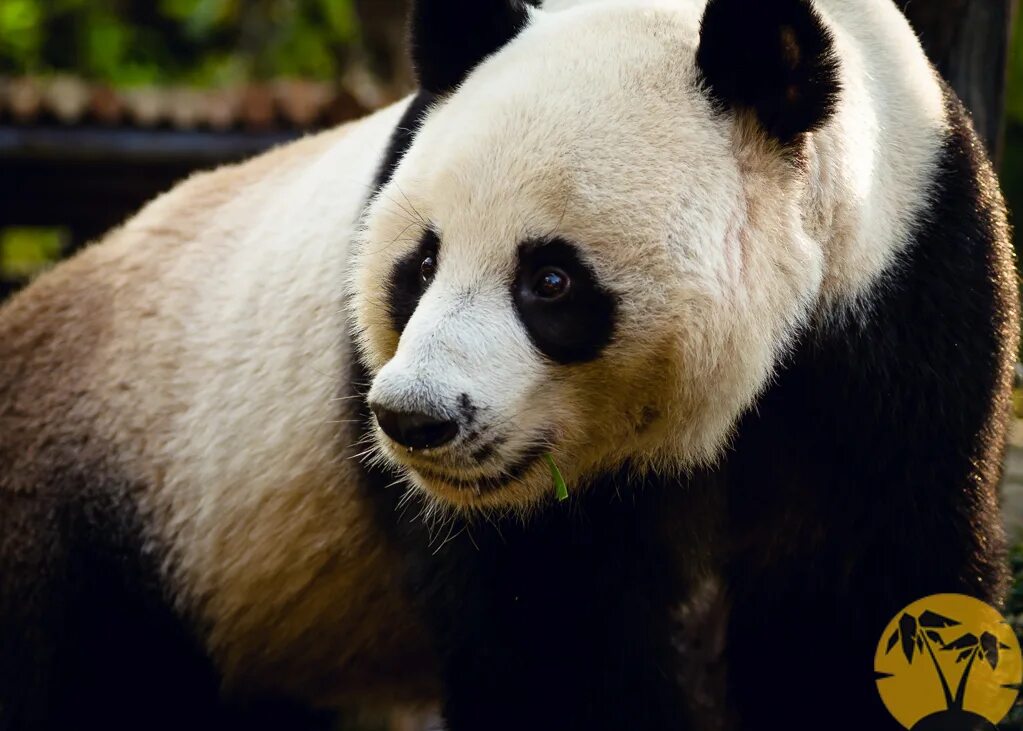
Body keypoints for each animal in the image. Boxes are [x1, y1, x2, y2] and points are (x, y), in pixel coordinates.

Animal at [1, 1, 1014, 731]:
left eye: (551, 279)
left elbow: (859, 596)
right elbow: (550, 647)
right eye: (418, 265)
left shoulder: (904, 298)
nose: (413, 418)